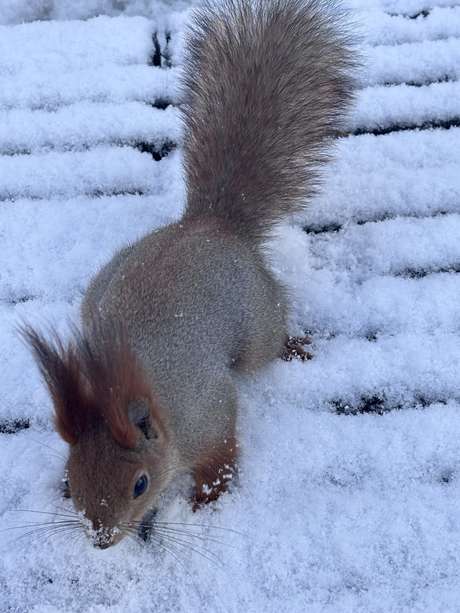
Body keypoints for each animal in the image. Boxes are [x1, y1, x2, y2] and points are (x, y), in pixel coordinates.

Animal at [23, 0, 355, 549]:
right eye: (71, 481)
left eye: (140, 484)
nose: (101, 538)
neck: (121, 385)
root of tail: (211, 224)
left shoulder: (208, 411)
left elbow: (222, 456)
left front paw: (208, 498)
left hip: (256, 318)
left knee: (268, 340)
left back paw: (291, 346)